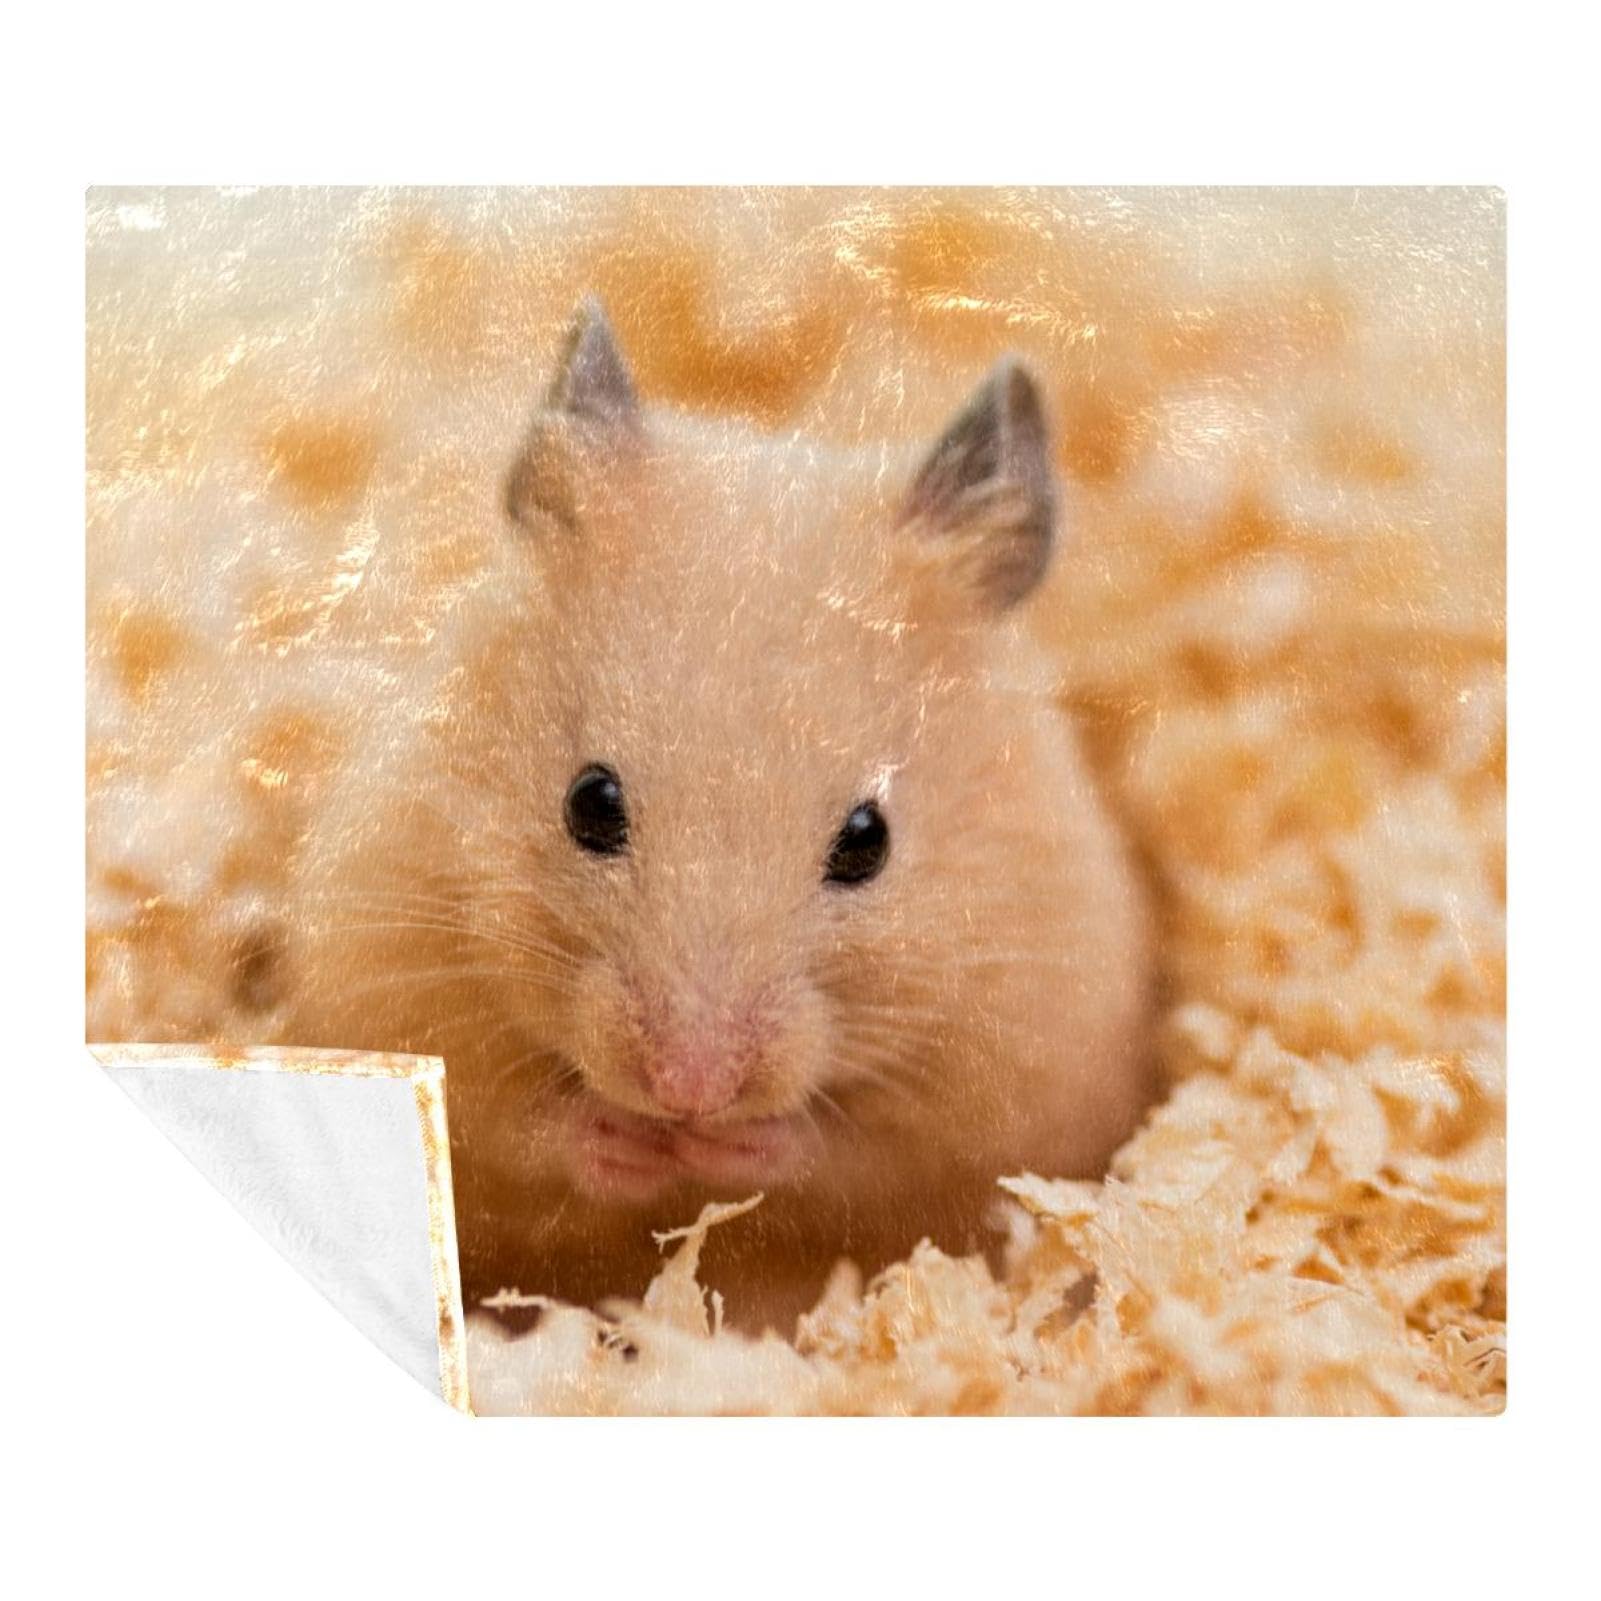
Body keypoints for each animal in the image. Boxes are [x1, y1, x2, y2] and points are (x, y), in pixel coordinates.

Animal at [280, 300, 1154, 1325]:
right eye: (590, 802)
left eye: (868, 841)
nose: (686, 1090)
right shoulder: (391, 970)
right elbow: (509, 1120)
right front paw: (631, 1141)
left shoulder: (1017, 1070)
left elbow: (852, 1156)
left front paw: (721, 1147)